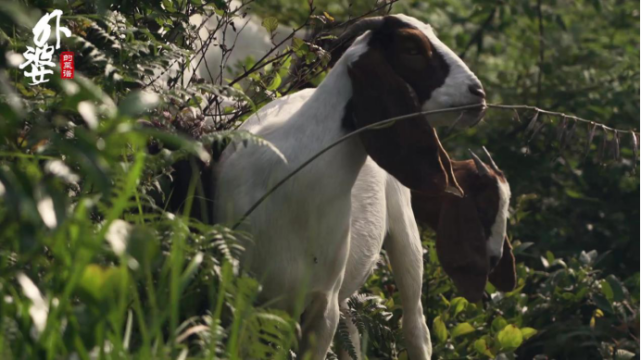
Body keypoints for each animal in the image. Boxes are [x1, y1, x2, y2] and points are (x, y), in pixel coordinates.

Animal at [214, 15, 484, 358]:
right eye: (411, 48)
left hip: (403, 230)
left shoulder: (322, 304)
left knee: (415, 327)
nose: (478, 93)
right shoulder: (244, 296)